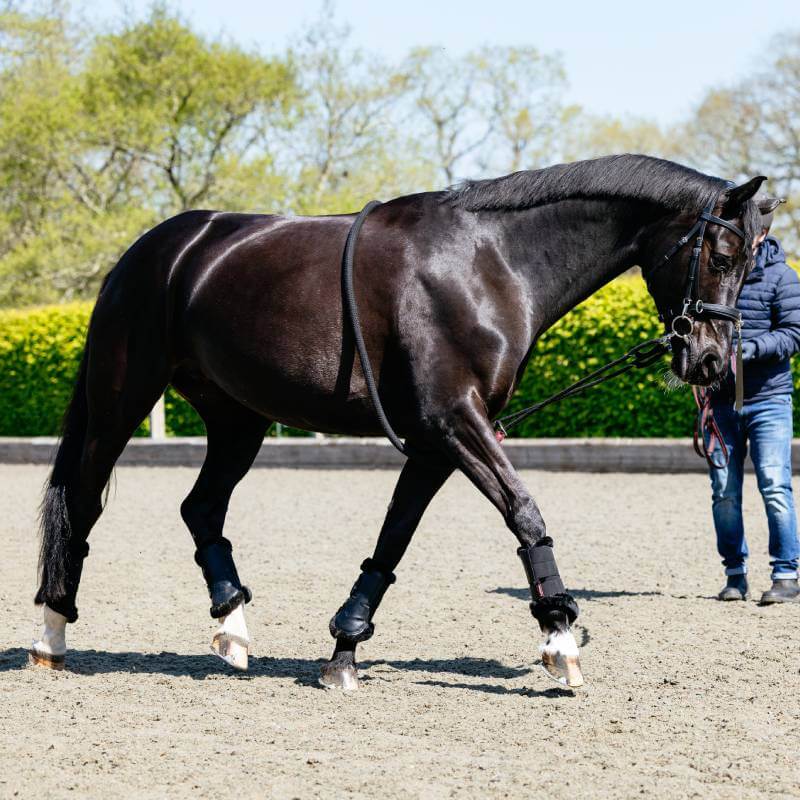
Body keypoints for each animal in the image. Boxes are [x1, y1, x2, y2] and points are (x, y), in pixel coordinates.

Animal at [30, 154, 774, 690]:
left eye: (752, 262)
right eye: (724, 256)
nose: (712, 362)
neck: (489, 263)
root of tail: (154, 250)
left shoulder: (436, 439)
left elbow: (394, 537)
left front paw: (344, 647)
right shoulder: (454, 421)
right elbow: (523, 511)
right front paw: (561, 636)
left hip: (239, 418)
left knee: (201, 508)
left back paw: (233, 629)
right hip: (122, 403)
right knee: (83, 503)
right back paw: (51, 634)